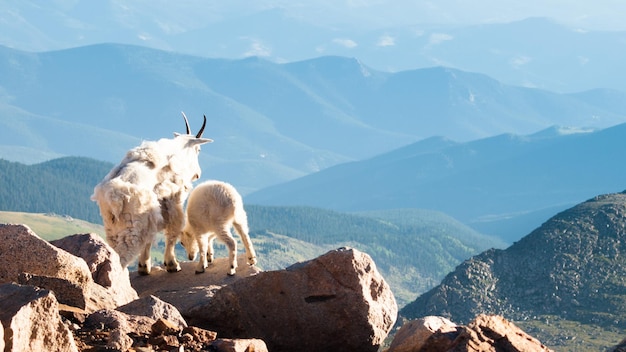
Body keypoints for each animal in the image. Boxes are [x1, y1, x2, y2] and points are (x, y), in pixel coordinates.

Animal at [91, 113, 212, 276]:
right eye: (198, 149)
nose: (197, 174)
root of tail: (113, 196)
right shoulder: (174, 199)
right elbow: (173, 229)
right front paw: (172, 265)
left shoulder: (154, 210)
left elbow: (151, 236)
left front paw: (144, 267)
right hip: (132, 227)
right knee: (123, 255)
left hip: (112, 226)